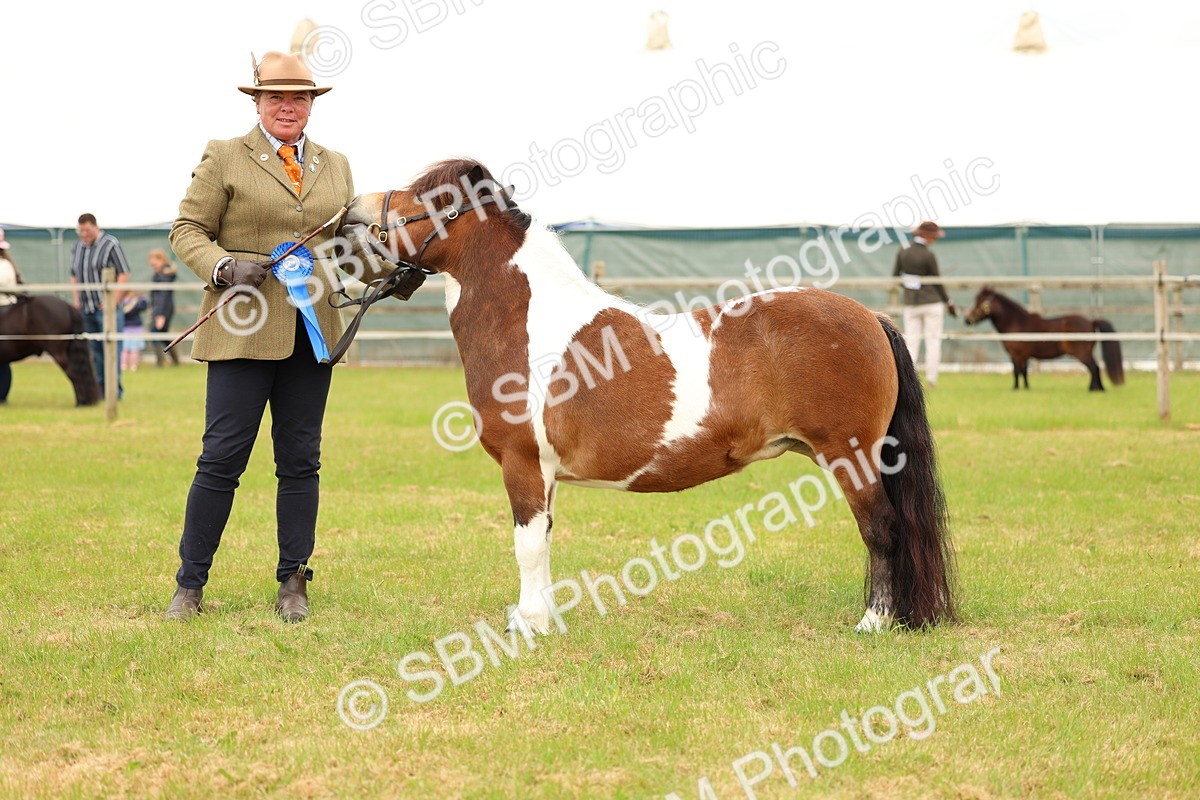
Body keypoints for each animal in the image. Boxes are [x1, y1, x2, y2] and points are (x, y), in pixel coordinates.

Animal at [340, 159, 955, 633]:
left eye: (431, 194)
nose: (354, 207)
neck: (528, 321)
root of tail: (871, 317)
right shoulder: (545, 474)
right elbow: (545, 540)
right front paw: (541, 619)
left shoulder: (523, 464)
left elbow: (527, 544)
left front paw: (529, 625)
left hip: (851, 456)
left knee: (882, 530)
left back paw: (873, 622)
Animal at [963, 287, 1124, 391]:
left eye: (981, 303)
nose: (967, 319)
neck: (1016, 323)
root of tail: (1091, 321)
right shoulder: (1024, 356)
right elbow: (1024, 372)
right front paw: (1026, 388)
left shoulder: (1015, 355)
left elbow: (1016, 371)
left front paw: (1015, 388)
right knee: (1095, 368)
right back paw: (1099, 389)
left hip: (1082, 354)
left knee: (1093, 368)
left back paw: (1093, 389)